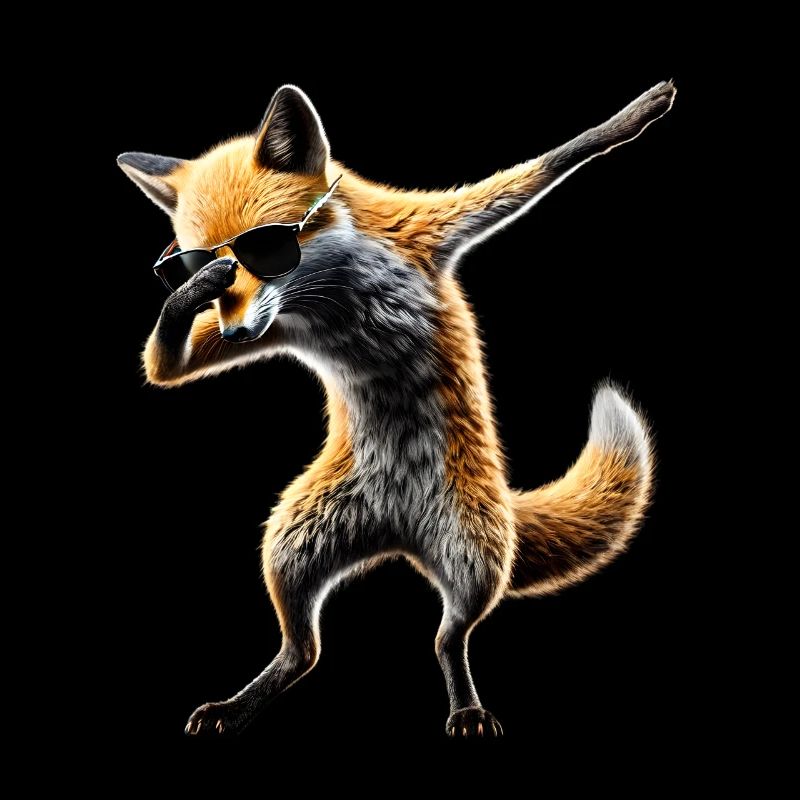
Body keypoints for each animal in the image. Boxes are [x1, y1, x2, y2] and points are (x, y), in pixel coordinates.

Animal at [119, 80, 674, 737]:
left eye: (264, 247)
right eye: (199, 262)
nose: (233, 334)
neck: (335, 299)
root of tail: (398, 532)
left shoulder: (430, 229)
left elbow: (543, 166)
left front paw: (631, 118)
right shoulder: (274, 328)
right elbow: (163, 367)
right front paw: (187, 296)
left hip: (474, 554)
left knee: (447, 638)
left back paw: (466, 706)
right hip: (291, 542)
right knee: (305, 651)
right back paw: (237, 706)